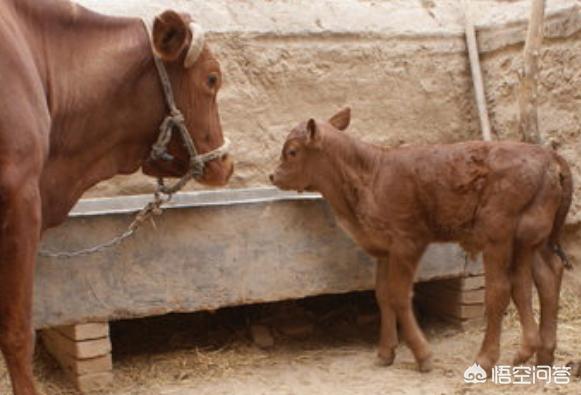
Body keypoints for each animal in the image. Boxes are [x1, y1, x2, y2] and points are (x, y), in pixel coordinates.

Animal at [270, 108, 572, 378]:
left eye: (292, 151)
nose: (273, 176)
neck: (370, 176)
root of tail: (549, 155)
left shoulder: (407, 242)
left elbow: (399, 295)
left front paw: (422, 355)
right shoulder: (384, 248)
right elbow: (382, 295)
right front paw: (385, 352)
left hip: (498, 234)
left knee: (500, 290)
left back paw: (486, 360)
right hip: (533, 237)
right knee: (545, 278)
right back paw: (542, 354)